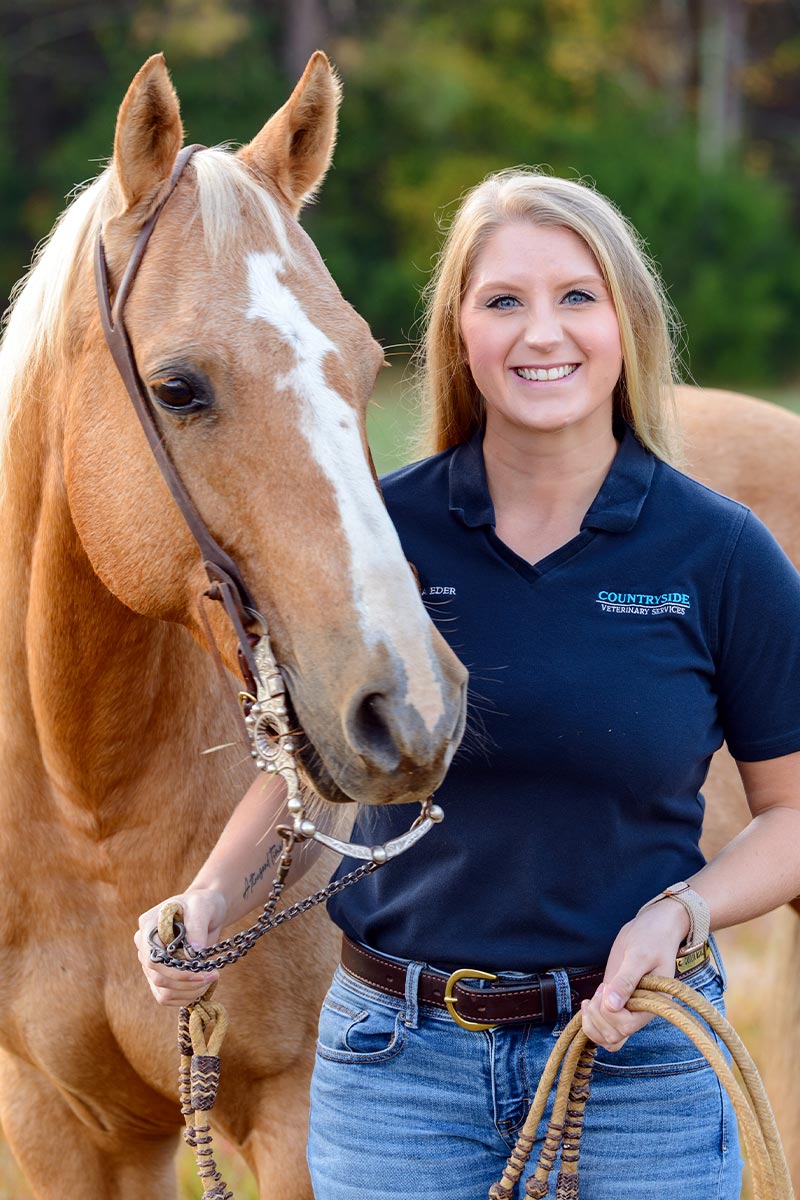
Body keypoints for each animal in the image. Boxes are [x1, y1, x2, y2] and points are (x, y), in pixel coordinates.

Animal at [0, 53, 467, 1198]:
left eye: (361, 363)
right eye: (178, 387)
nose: (410, 710)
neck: (94, 813)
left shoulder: (301, 1117)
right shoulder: (62, 1126)